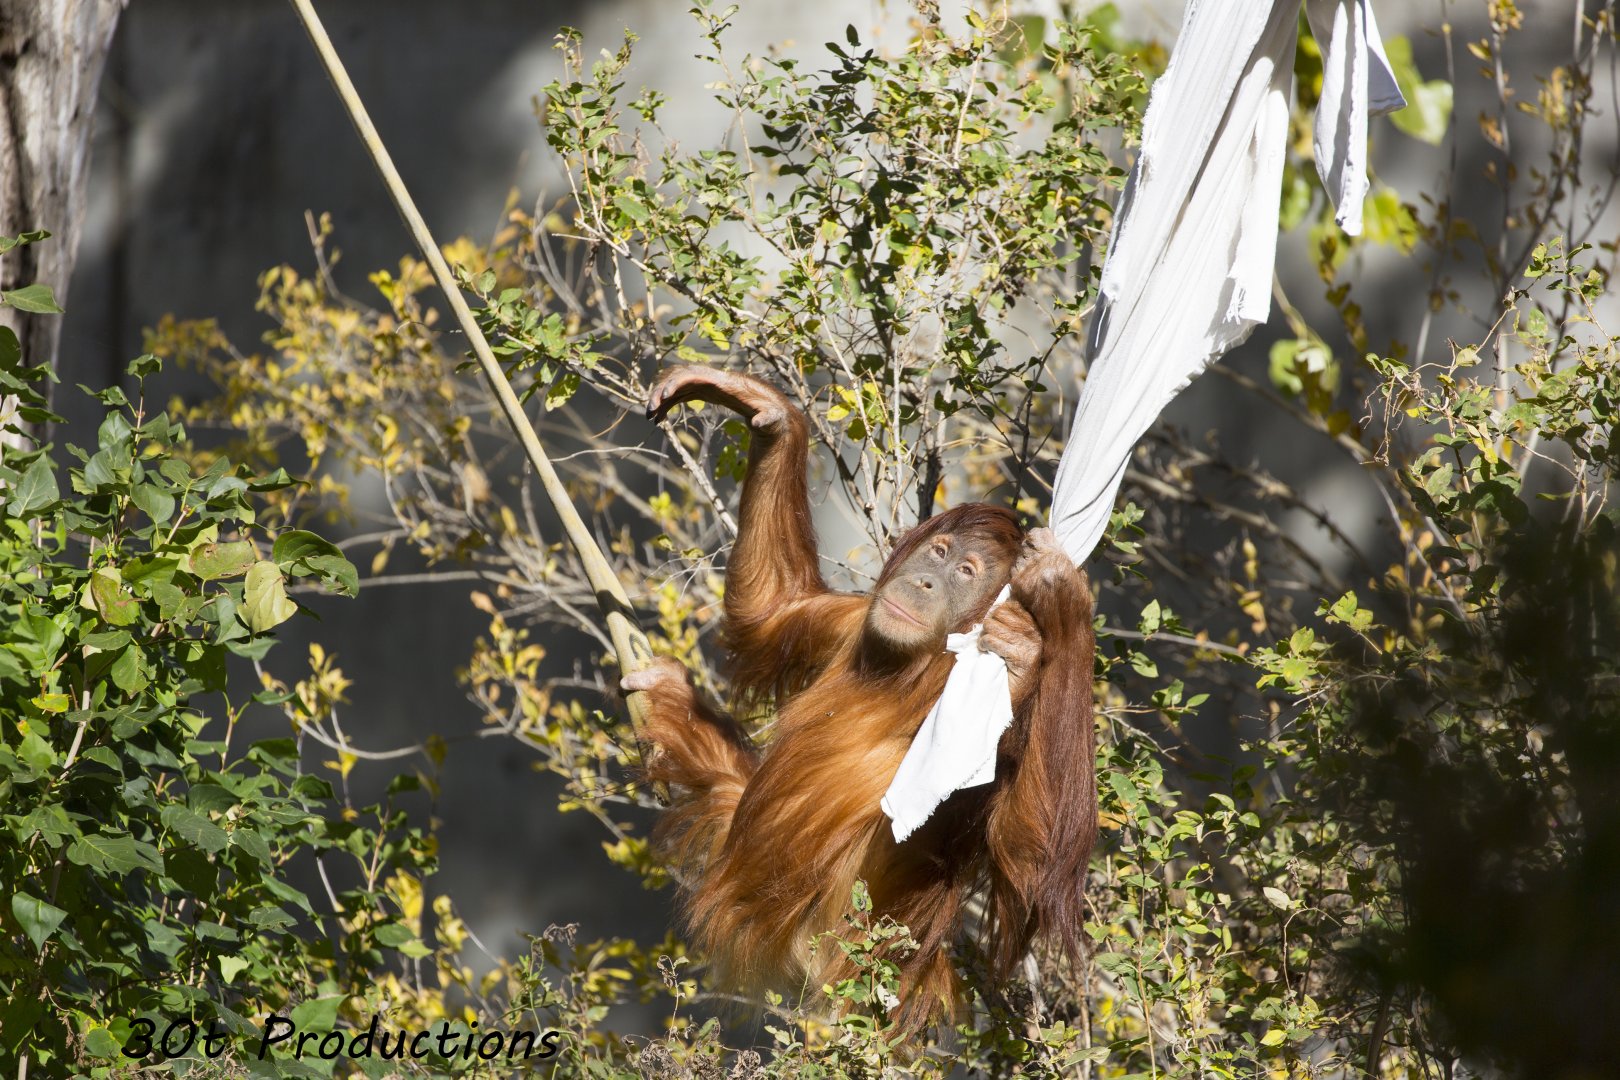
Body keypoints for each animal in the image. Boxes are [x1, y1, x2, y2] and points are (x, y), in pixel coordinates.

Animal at [623, 365, 1096, 1026]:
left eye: (966, 574)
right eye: (939, 554)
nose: (925, 581)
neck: (914, 667)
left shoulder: (1007, 710)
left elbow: (1031, 861)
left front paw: (1059, 601)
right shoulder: (848, 622)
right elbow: (775, 611)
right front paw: (767, 411)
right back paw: (664, 697)